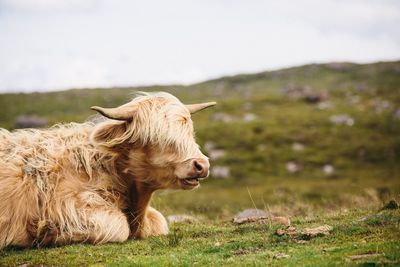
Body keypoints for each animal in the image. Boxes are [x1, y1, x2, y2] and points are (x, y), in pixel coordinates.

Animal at [0, 92, 216, 249]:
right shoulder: (65, 202)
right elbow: (118, 226)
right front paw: (48, 232)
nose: (201, 165)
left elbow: (159, 221)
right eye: (155, 137)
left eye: (190, 132)